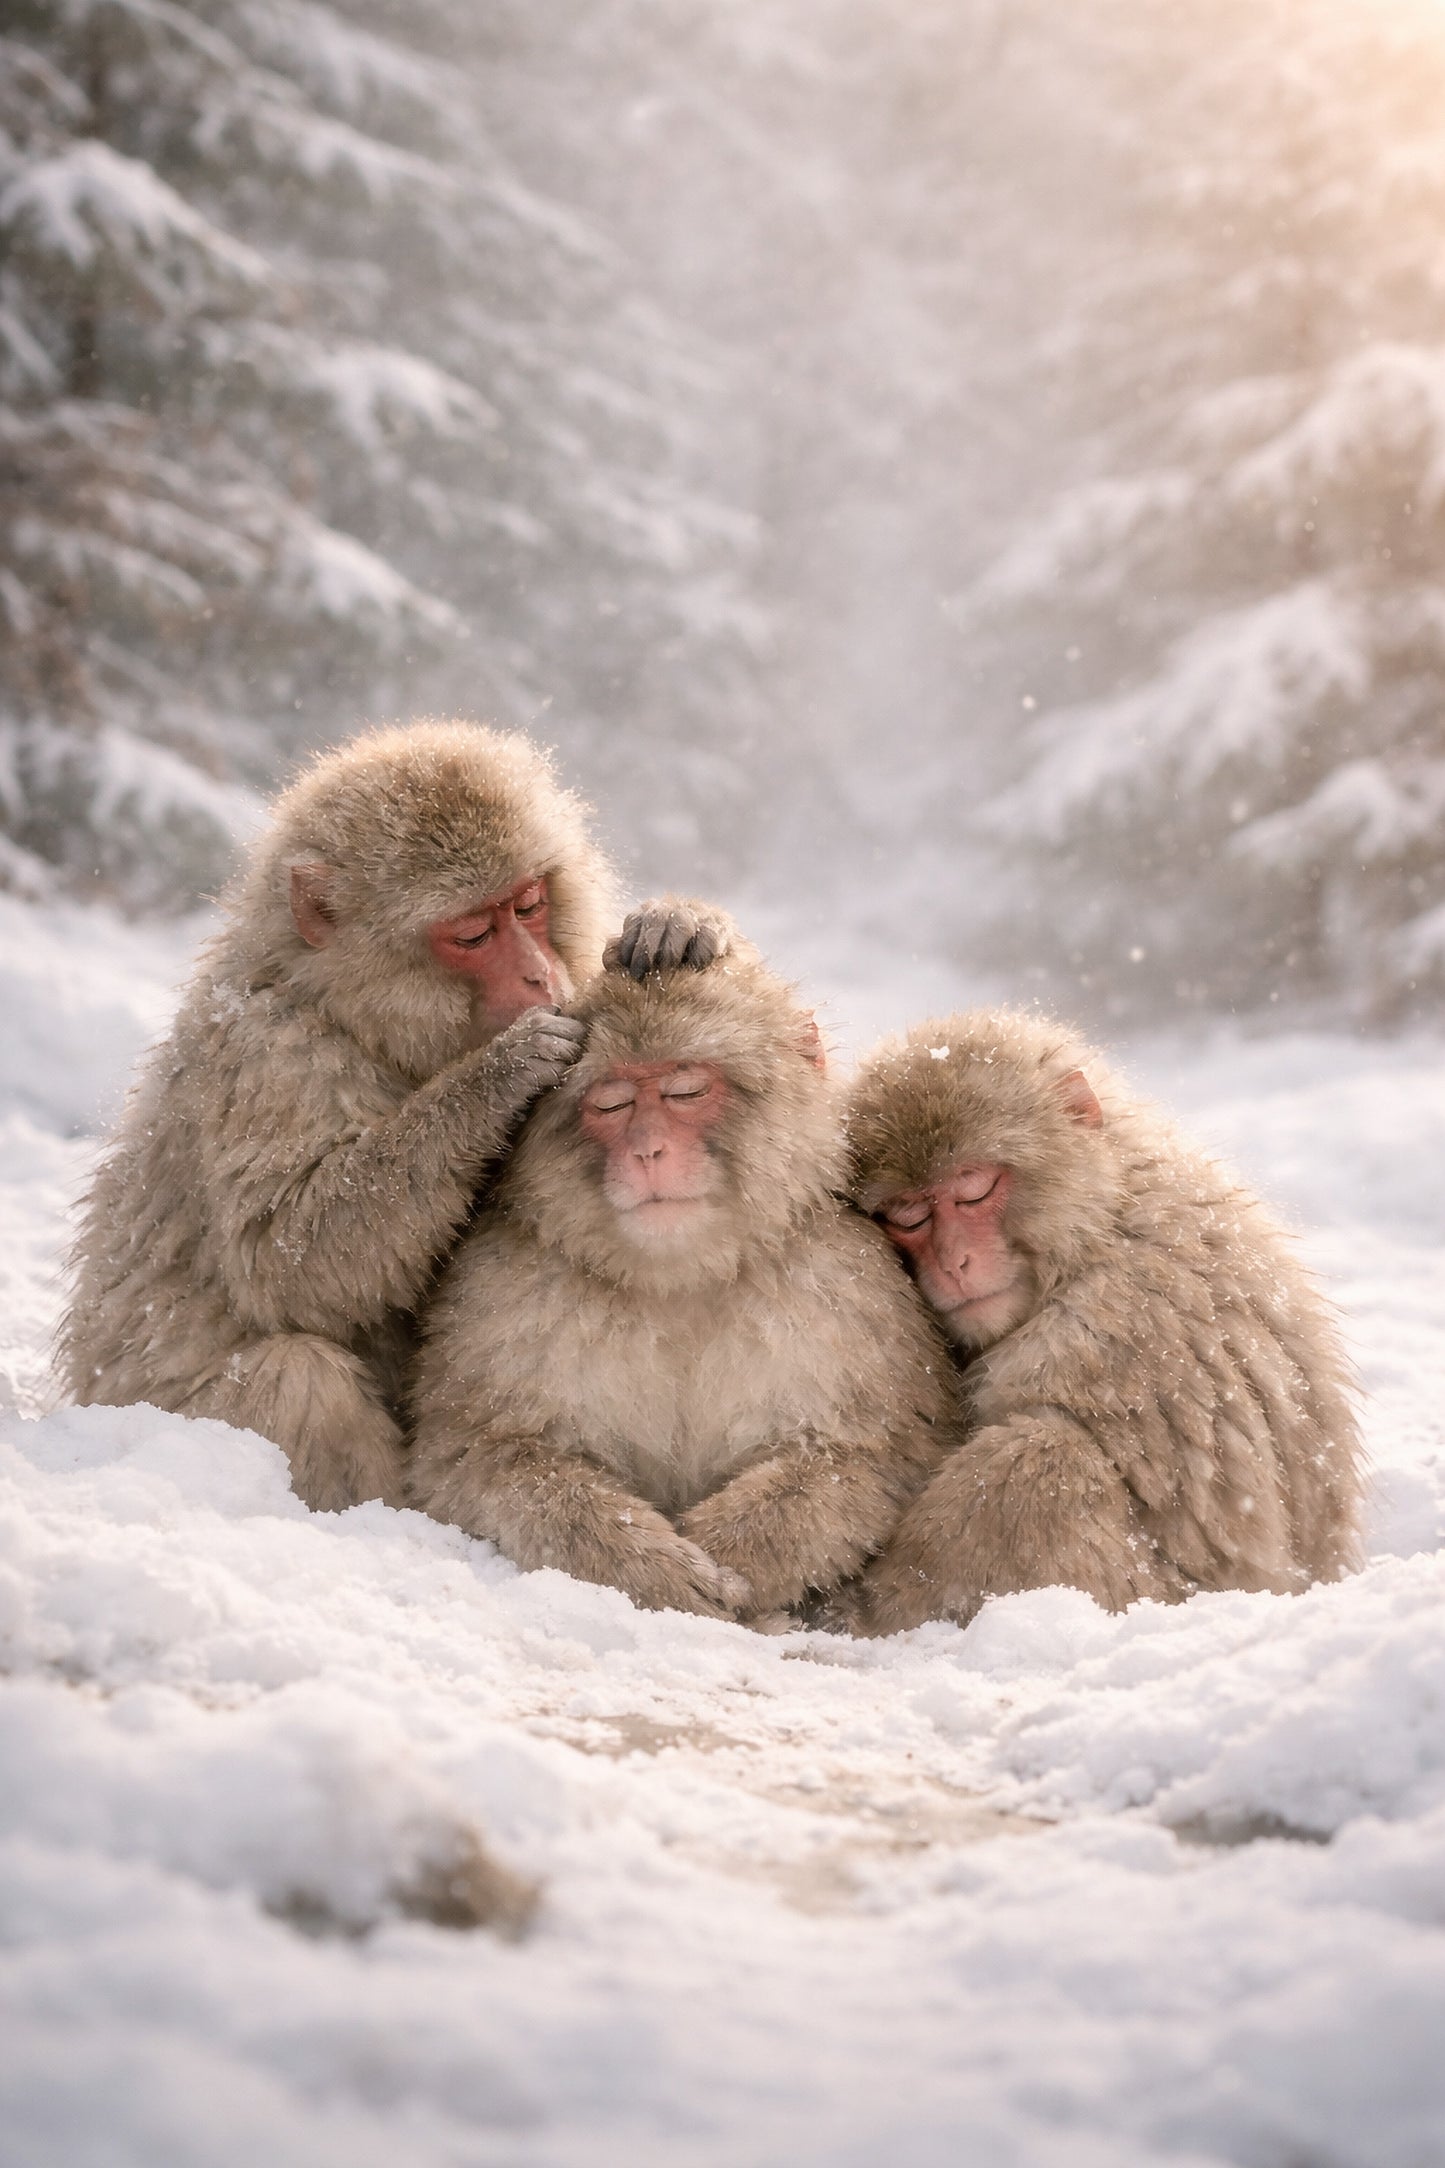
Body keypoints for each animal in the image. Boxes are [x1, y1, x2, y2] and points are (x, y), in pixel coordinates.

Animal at [61, 721, 727, 1513]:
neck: (347, 1013)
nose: (538, 974)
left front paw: (676, 920)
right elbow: (284, 1254)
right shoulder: (268, 1055)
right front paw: (497, 1076)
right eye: (472, 935)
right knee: (301, 1381)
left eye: (527, 904)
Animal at [408, 927, 954, 1622]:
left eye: (685, 1092)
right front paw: (654, 1569)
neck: (680, 1279)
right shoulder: (499, 1295)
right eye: (611, 1103)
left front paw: (736, 1556)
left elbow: (867, 1456)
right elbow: (478, 1455)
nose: (648, 1150)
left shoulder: (852, 1291)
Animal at [831, 1009, 1364, 1634]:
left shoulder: (1119, 1323)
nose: (953, 1262)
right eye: (907, 1217)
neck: (1104, 1219)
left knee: (1045, 1457)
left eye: (975, 1191)